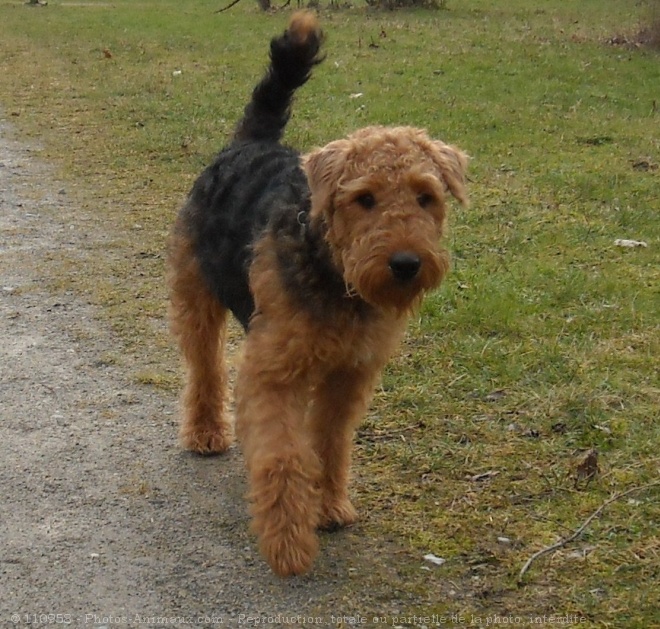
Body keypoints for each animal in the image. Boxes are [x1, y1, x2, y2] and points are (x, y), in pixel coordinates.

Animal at [170, 12, 470, 576]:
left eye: (426, 196)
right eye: (364, 198)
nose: (405, 264)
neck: (336, 277)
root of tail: (248, 143)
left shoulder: (349, 374)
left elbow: (329, 444)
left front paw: (328, 506)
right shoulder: (274, 372)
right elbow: (284, 455)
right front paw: (288, 543)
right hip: (196, 294)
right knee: (205, 366)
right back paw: (205, 433)